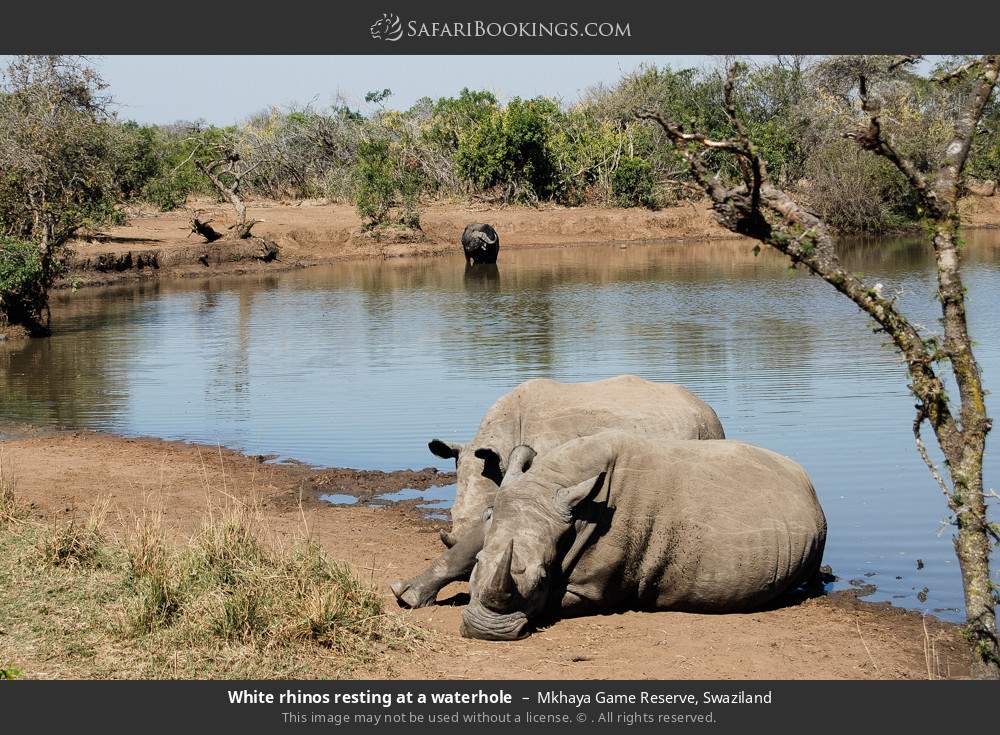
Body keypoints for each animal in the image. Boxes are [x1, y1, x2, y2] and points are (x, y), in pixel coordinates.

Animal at [461, 431, 827, 640]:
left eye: (540, 579)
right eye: (477, 562)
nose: (486, 631)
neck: (550, 484)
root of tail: (805, 480)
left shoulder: (591, 589)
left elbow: (555, 600)